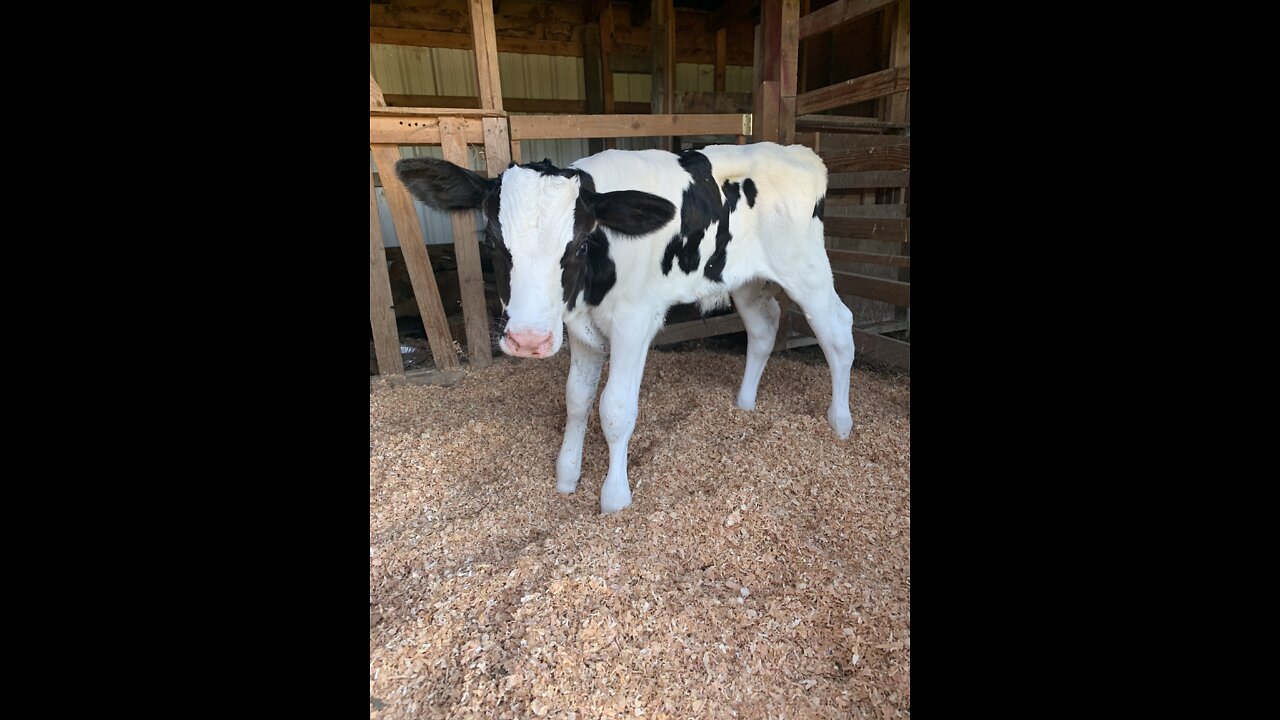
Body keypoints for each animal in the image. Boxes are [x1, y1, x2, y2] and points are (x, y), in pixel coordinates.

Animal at [394, 141, 855, 509]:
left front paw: (615, 497)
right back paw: (744, 404)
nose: (528, 339)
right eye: (491, 243)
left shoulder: (635, 321)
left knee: (838, 330)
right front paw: (567, 475)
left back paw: (841, 422)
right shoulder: (580, 328)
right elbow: (577, 399)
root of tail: (797, 151)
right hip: (743, 278)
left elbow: (615, 408)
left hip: (806, 269)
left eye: (580, 244)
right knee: (763, 326)